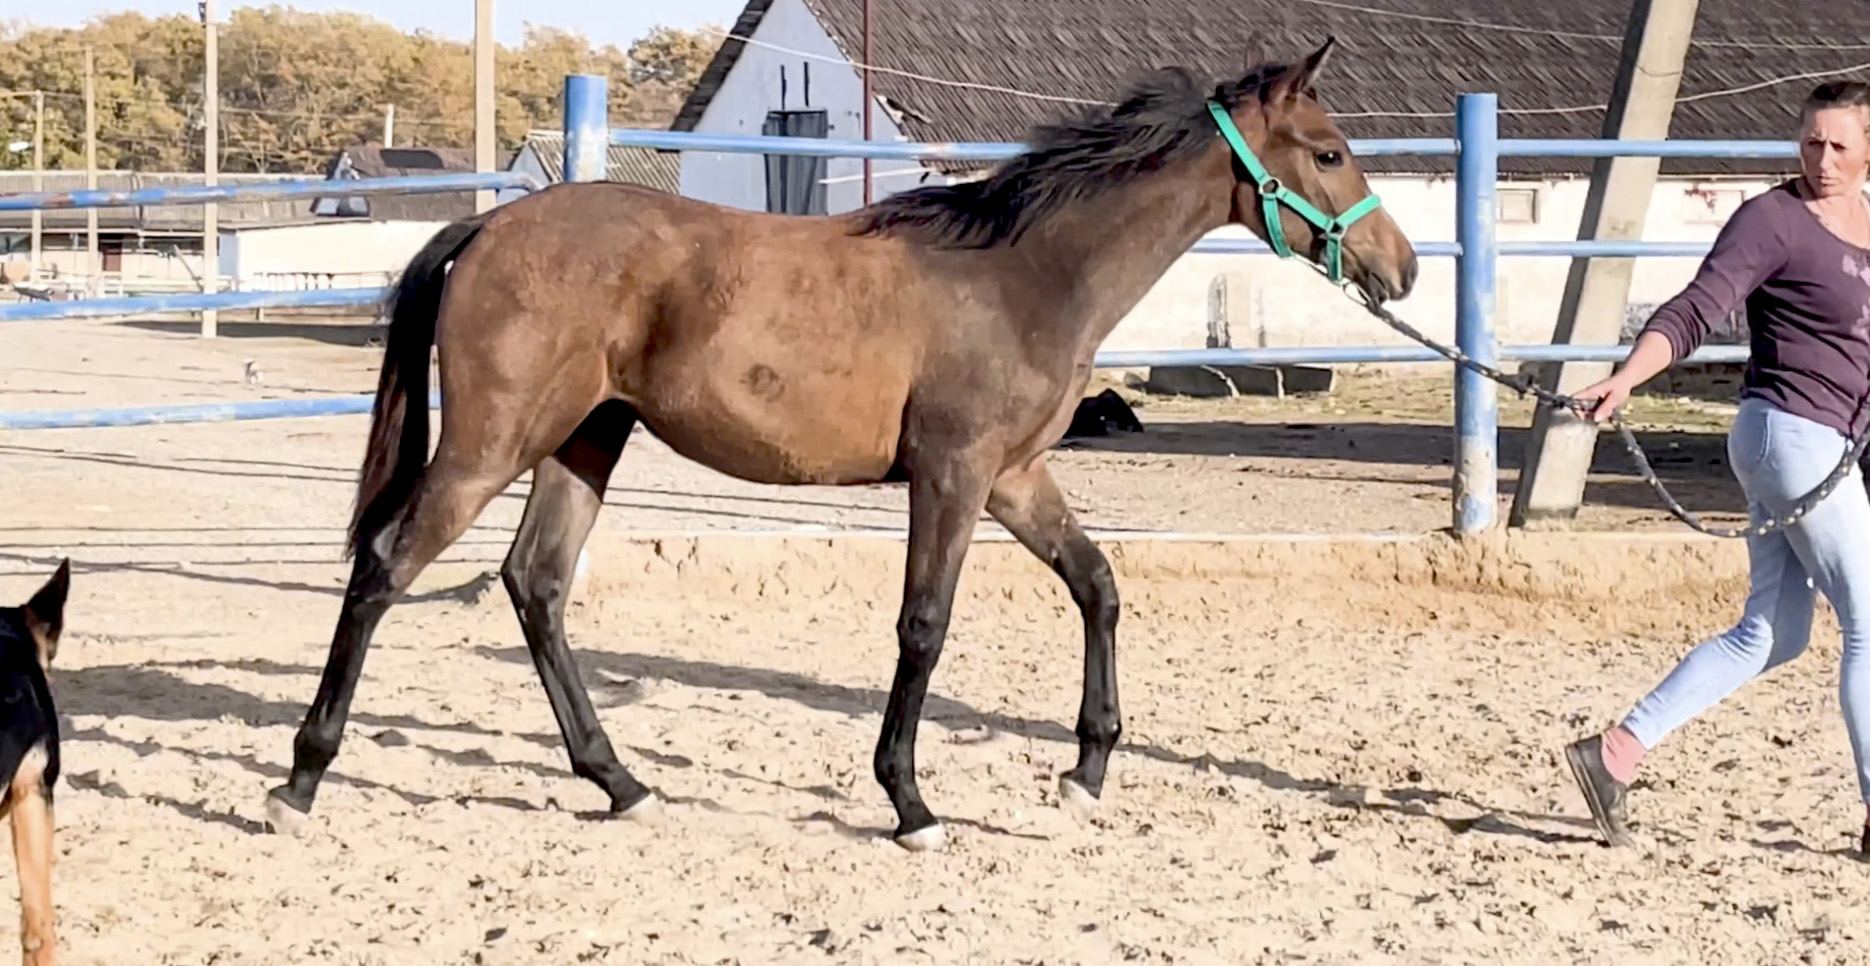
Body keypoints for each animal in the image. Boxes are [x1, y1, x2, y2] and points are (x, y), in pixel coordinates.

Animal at [263, 39, 1413, 852]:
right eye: (1328, 151)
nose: (1397, 268)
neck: (1020, 273)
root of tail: (490, 228)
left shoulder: (1015, 476)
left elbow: (1096, 583)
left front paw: (1084, 773)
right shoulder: (952, 475)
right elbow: (923, 627)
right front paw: (911, 804)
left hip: (584, 439)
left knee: (534, 583)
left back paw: (622, 783)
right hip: (494, 441)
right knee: (385, 566)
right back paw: (301, 781)